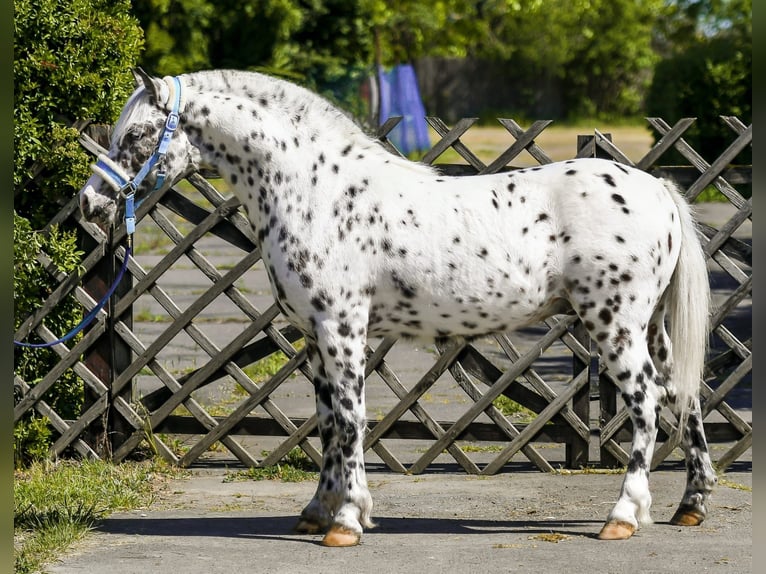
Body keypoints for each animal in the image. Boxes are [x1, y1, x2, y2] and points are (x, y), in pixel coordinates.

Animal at [79, 68, 717, 547]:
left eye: (136, 136)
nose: (89, 204)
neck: (316, 190)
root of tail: (658, 190)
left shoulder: (341, 329)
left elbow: (351, 419)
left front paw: (346, 524)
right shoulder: (316, 337)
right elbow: (328, 422)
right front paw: (321, 510)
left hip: (616, 327)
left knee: (647, 405)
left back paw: (624, 516)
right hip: (651, 330)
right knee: (684, 397)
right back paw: (691, 505)